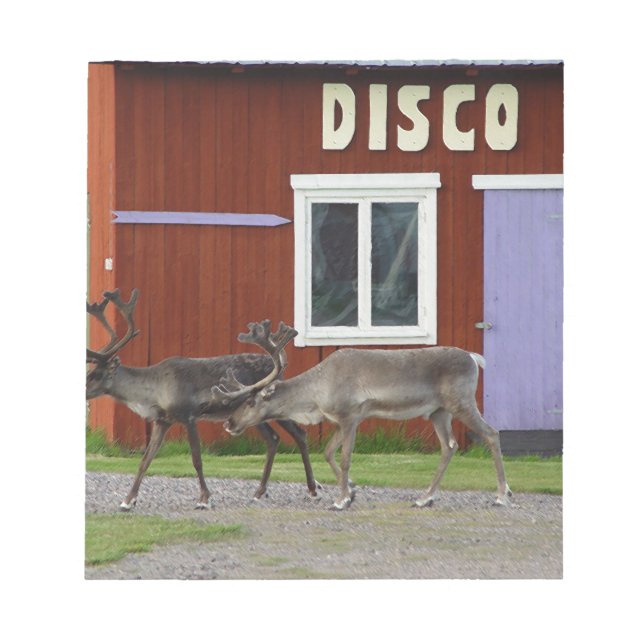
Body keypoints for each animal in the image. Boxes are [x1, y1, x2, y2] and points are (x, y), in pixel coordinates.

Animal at [86, 289, 319, 511]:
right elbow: (145, 460)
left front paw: (204, 499)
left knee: (297, 434)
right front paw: (127, 501)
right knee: (274, 438)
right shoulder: (162, 421)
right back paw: (260, 491)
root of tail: (278, 365)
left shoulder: (189, 415)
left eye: (95, 374)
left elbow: (197, 459)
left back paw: (312, 489)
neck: (153, 392)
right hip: (253, 414)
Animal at [212, 320, 512, 510]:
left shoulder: (350, 416)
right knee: (449, 446)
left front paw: (341, 500)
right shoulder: (338, 420)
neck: (315, 396)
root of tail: (473, 358)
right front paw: (352, 491)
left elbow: (345, 458)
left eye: (250, 401)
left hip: (461, 401)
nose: (229, 422)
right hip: (439, 411)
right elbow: (328, 453)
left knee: (491, 434)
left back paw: (502, 494)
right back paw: (424, 498)